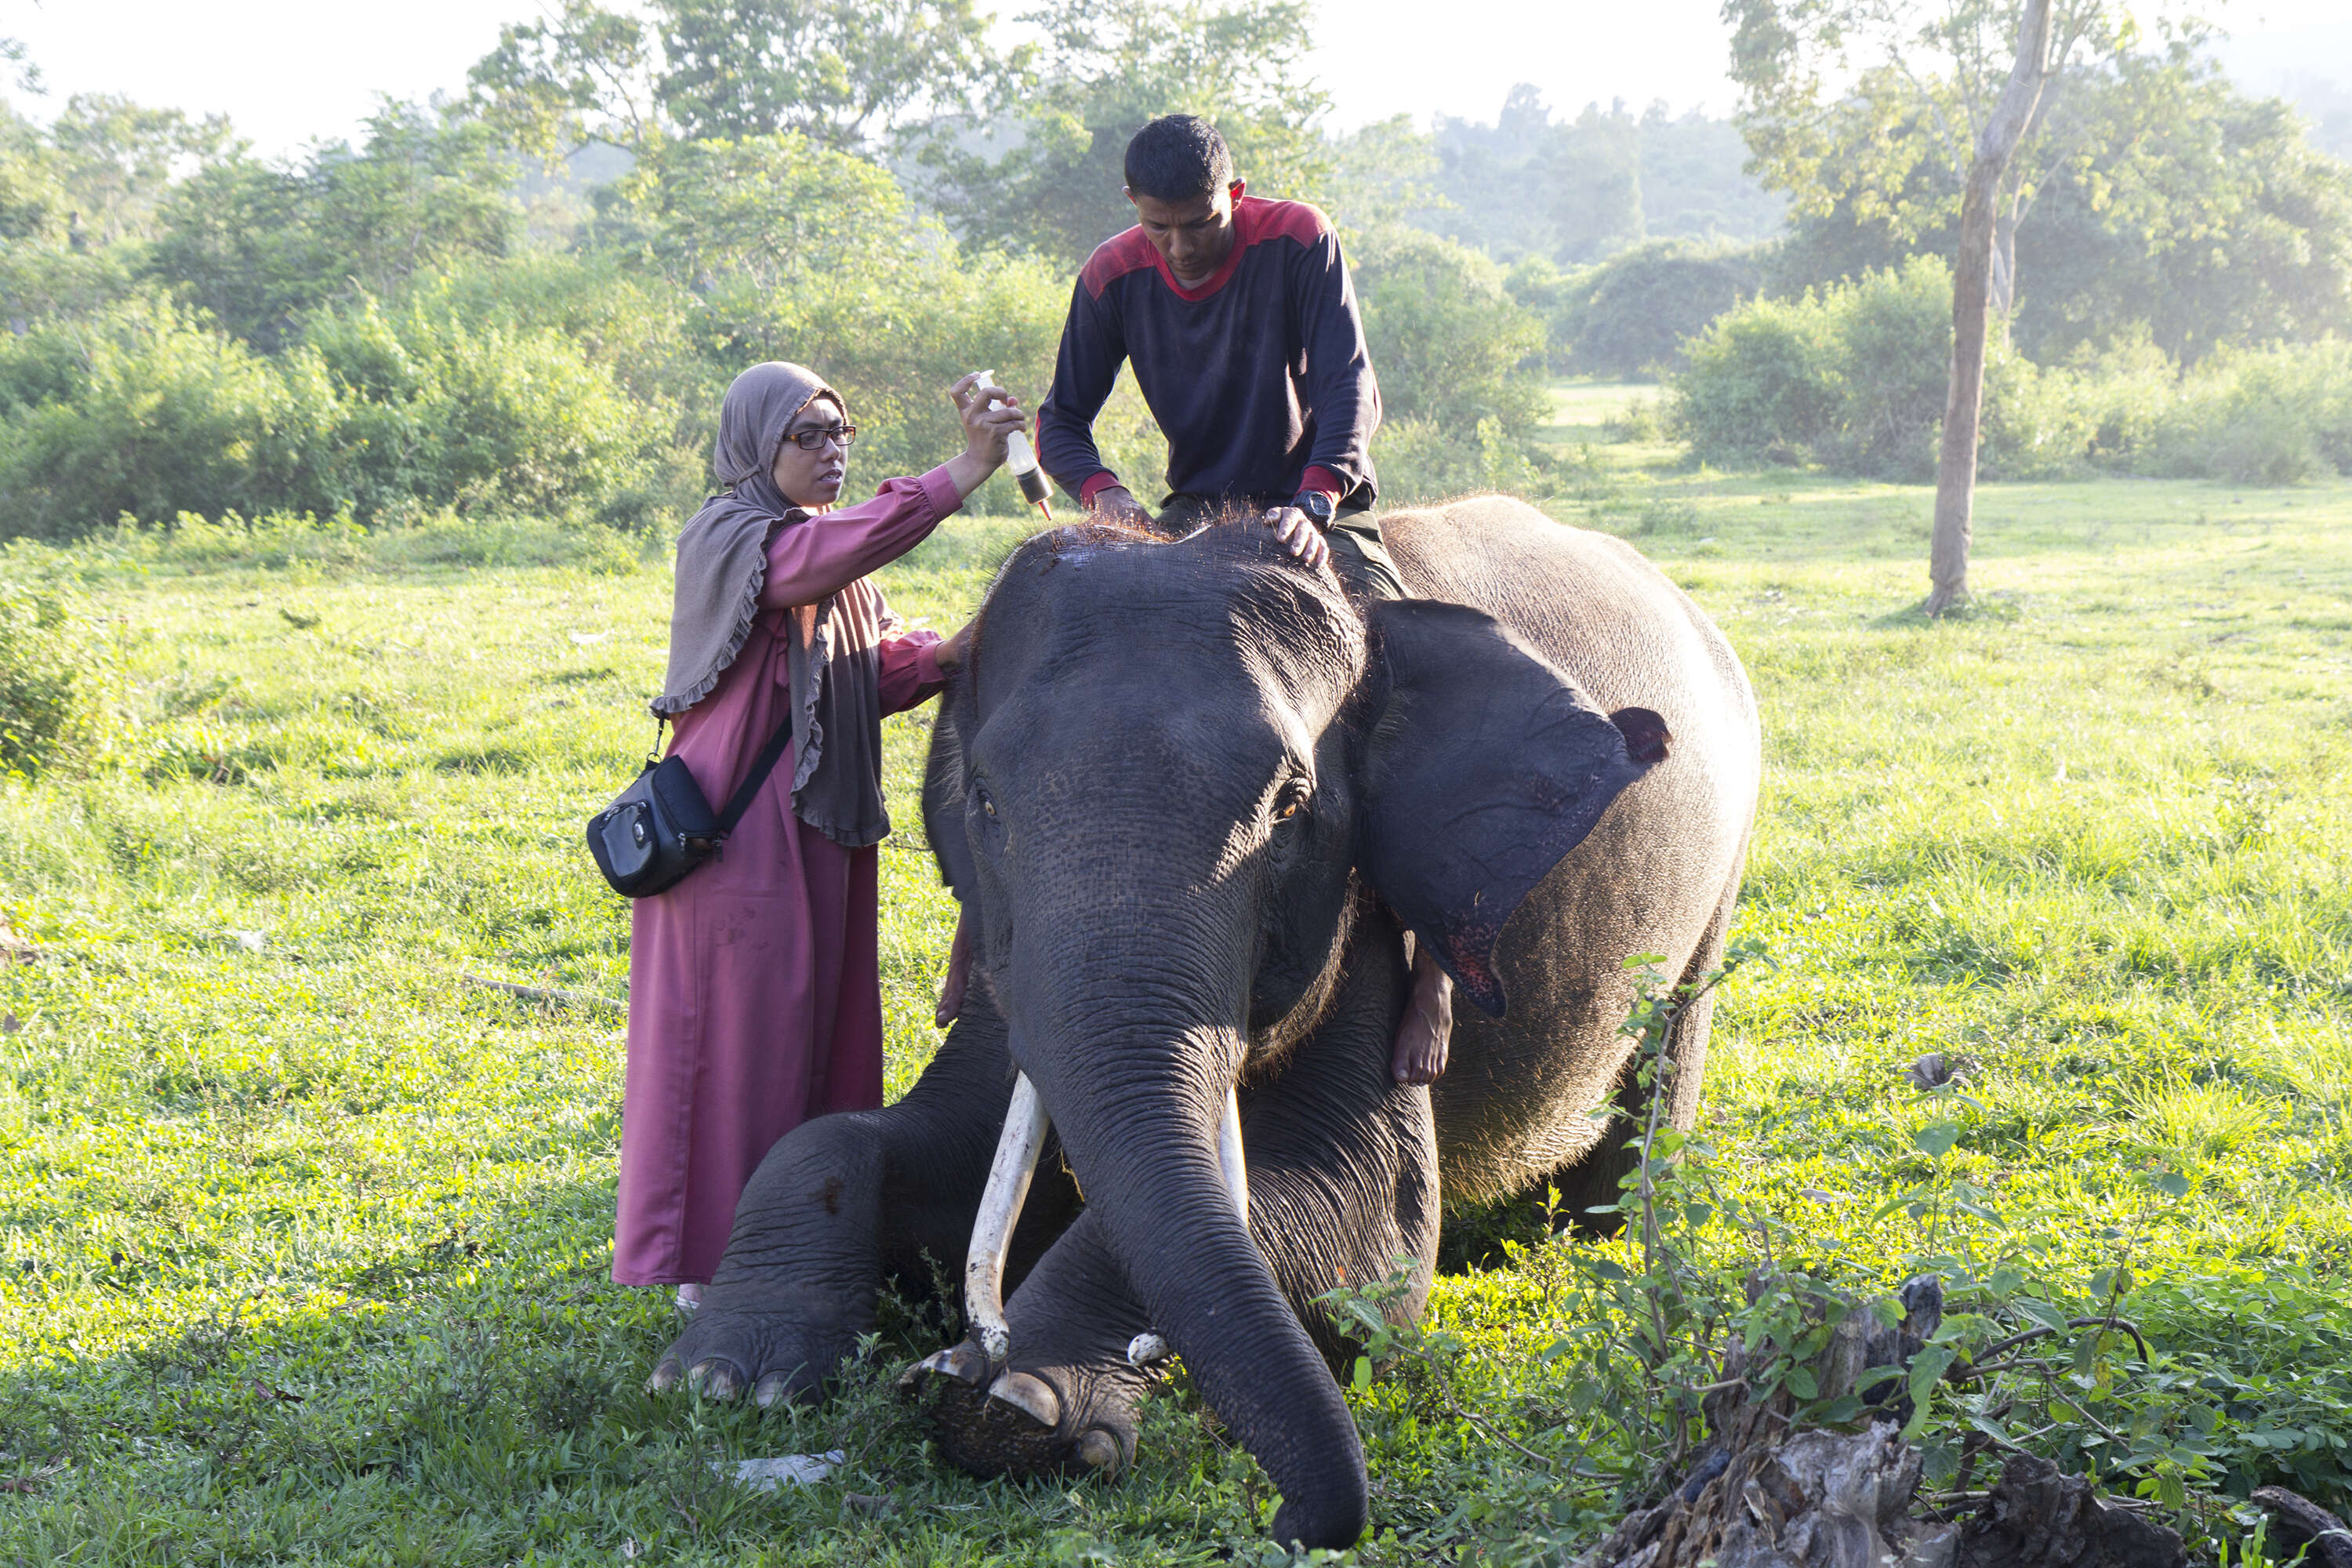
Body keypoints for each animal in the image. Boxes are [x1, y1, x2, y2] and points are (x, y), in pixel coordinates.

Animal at [654, 500, 1759, 1542]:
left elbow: (1371, 1229)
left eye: (1291, 808)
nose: (1295, 1518)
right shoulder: (997, 949)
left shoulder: (1376, 932)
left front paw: (1015, 1399)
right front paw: (726, 1376)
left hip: (1717, 887)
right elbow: (874, 1138)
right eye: (985, 801)